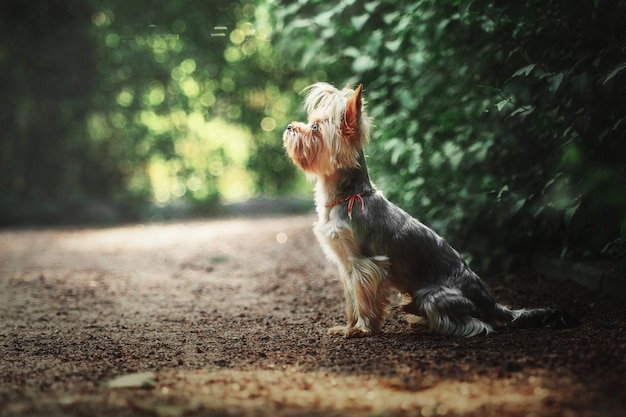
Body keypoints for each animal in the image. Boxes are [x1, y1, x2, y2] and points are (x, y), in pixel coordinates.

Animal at [282, 82, 576, 338]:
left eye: (315, 127)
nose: (289, 127)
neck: (348, 196)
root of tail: (491, 301)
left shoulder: (365, 265)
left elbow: (364, 300)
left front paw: (361, 329)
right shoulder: (347, 267)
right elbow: (351, 302)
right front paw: (348, 326)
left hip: (432, 295)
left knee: (479, 324)